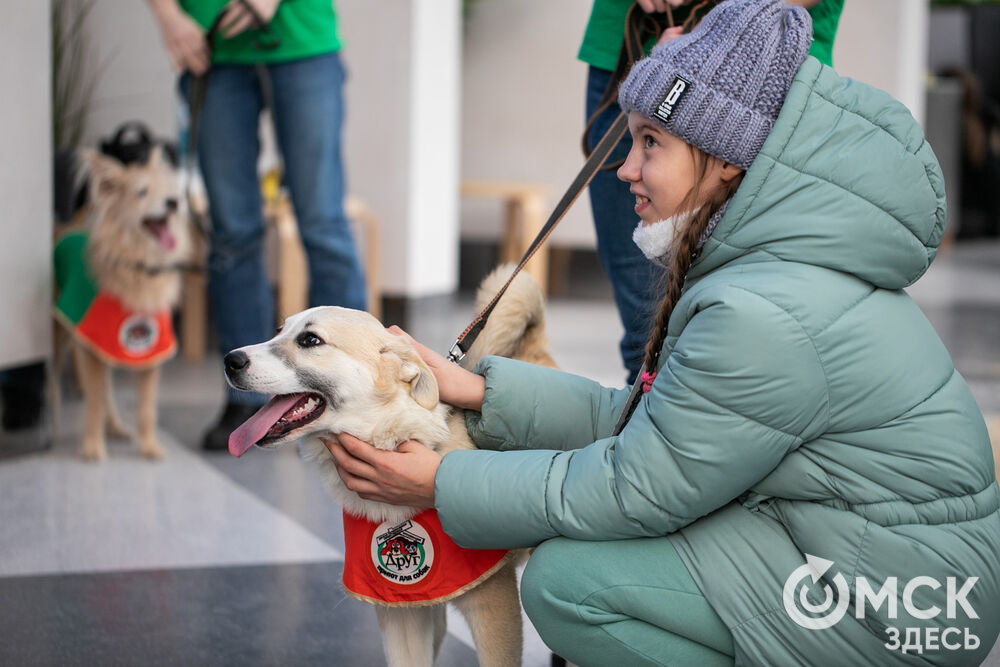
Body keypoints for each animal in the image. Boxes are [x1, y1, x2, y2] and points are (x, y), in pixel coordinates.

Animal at [55, 147, 193, 462]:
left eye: (169, 190)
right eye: (142, 192)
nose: (174, 202)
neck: (138, 266)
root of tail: (66, 227)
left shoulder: (152, 351)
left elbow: (145, 409)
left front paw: (149, 446)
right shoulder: (91, 343)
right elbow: (93, 402)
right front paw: (93, 447)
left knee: (105, 389)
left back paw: (115, 426)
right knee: (53, 380)